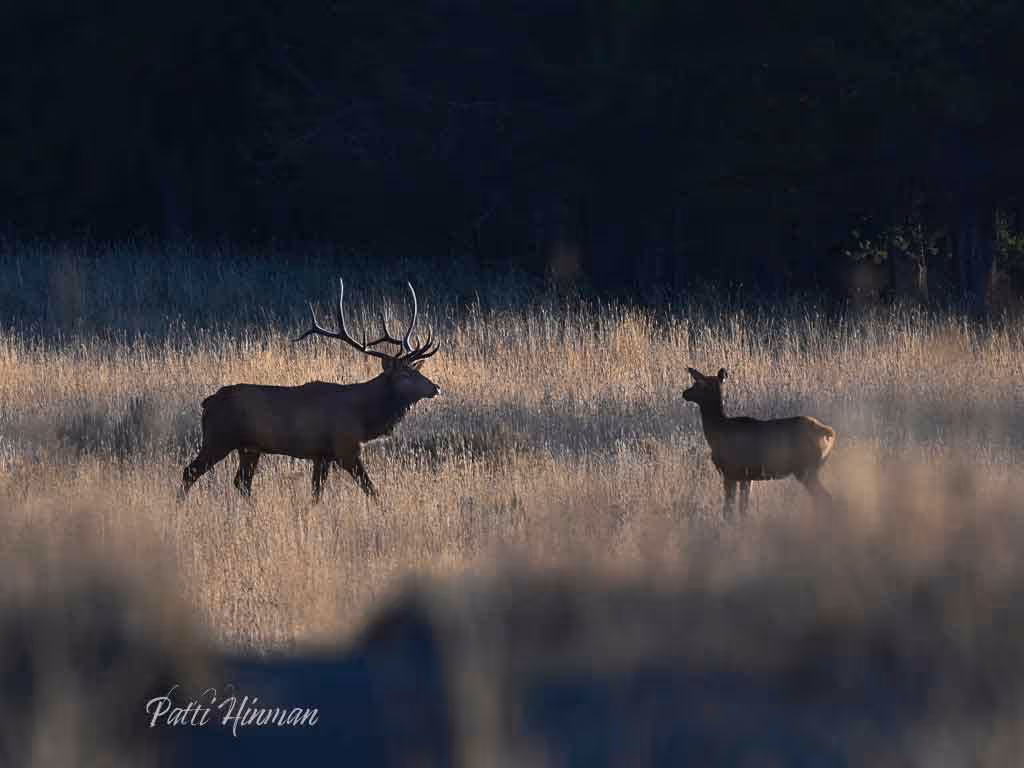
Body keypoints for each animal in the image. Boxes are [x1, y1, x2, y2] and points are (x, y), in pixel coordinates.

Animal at [178, 279, 440, 503]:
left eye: (416, 370)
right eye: (405, 374)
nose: (436, 387)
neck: (364, 416)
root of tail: (206, 403)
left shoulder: (321, 455)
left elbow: (316, 494)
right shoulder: (346, 448)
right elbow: (371, 489)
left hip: (249, 448)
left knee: (241, 482)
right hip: (219, 437)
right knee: (190, 471)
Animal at [683, 367, 835, 518]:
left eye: (700, 384)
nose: (685, 393)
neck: (718, 431)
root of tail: (827, 432)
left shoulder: (730, 471)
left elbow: (728, 510)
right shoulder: (745, 476)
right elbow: (743, 508)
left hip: (806, 468)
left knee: (826, 498)